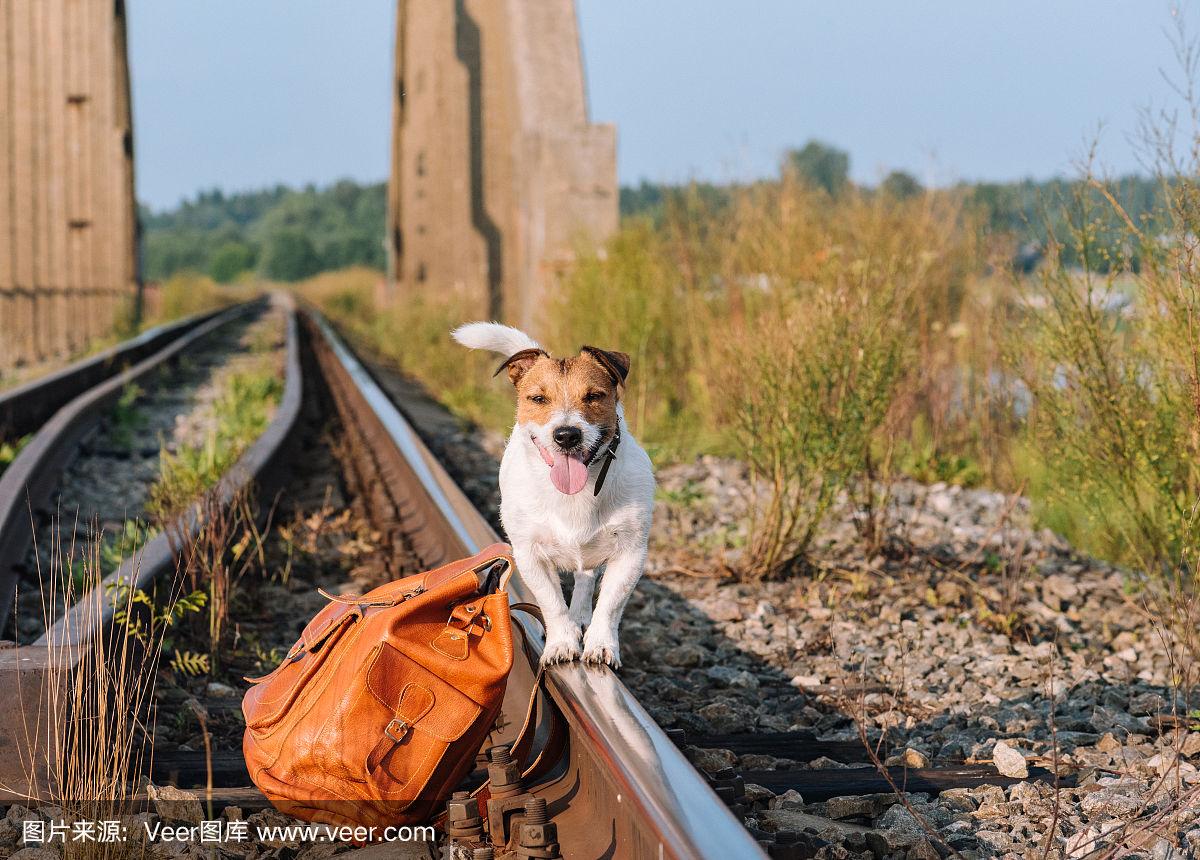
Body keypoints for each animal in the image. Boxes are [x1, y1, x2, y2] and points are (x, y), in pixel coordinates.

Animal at [451, 321, 657, 662]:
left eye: (594, 396)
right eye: (538, 399)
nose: (567, 435)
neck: (576, 494)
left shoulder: (631, 554)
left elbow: (610, 605)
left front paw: (601, 644)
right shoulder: (529, 554)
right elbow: (552, 603)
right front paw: (562, 642)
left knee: (586, 578)